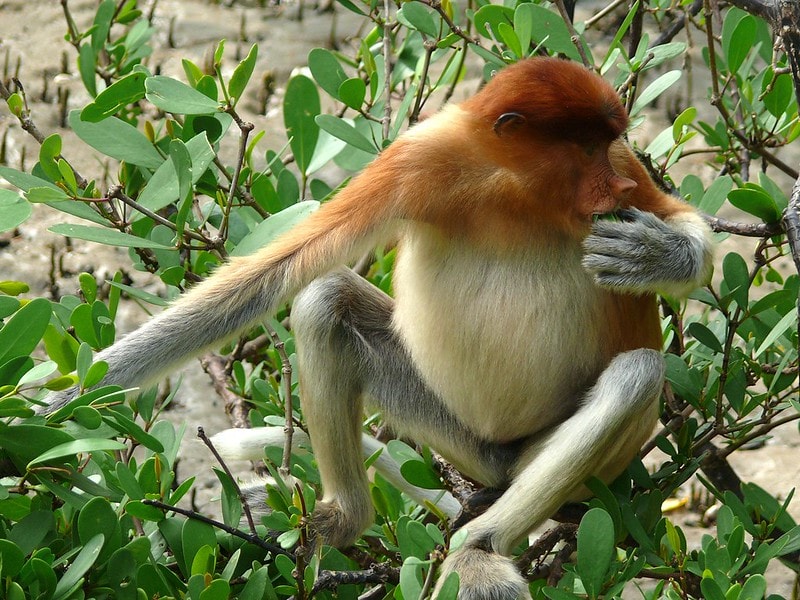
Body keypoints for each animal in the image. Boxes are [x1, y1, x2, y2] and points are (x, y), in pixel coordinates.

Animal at [44, 57, 713, 599]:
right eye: (586, 149)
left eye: (611, 144)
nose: (618, 187)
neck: (515, 187)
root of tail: (498, 466)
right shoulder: (417, 160)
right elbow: (274, 274)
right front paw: (54, 406)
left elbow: (683, 222)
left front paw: (657, 254)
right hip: (457, 434)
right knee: (325, 301)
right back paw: (345, 520)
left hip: (569, 459)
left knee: (635, 375)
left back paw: (477, 550)